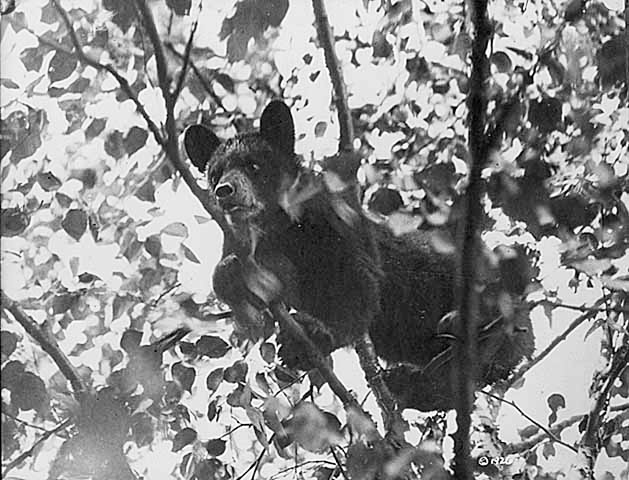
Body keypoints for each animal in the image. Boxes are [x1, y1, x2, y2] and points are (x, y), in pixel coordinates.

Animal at [183, 99, 536, 410]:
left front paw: (313, 336)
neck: (280, 226)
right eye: (215, 173)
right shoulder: (259, 246)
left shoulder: (335, 226)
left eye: (254, 165)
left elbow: (357, 285)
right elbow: (268, 285)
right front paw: (231, 275)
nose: (225, 191)